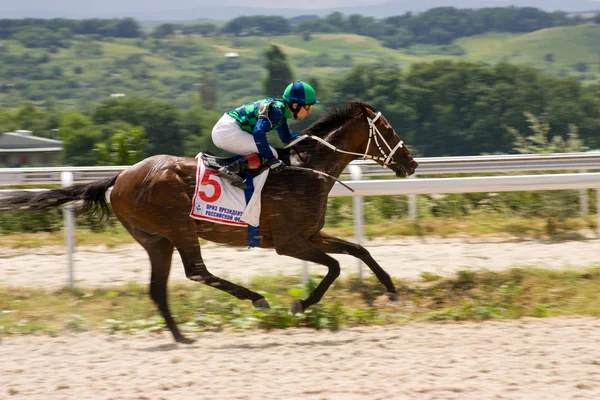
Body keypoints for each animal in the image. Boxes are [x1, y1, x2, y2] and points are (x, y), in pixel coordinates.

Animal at [2, 101, 418, 344]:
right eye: (388, 130)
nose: (411, 164)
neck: (307, 171)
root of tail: (119, 177)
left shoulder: (311, 234)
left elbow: (358, 250)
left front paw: (391, 290)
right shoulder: (289, 243)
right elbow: (333, 267)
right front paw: (301, 304)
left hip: (156, 239)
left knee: (159, 288)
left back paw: (181, 336)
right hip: (179, 227)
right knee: (197, 271)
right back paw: (256, 299)